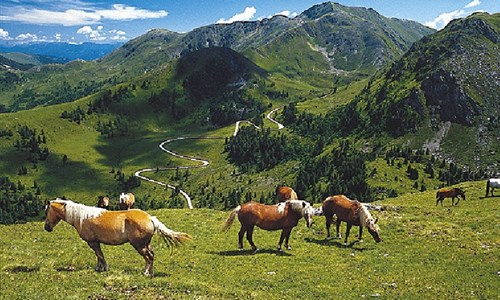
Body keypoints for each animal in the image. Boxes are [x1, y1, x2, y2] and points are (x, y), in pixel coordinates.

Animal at [44, 198, 192, 278]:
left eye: (46, 211)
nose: (47, 228)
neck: (82, 217)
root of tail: (150, 218)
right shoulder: (96, 242)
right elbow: (99, 256)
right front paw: (99, 267)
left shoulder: (92, 242)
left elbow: (100, 255)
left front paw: (103, 268)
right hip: (146, 244)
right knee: (152, 255)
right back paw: (151, 273)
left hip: (139, 245)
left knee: (148, 257)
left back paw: (145, 273)